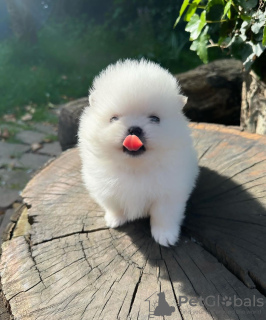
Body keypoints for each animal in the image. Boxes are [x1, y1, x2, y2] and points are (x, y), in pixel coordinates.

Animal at [77, 59, 197, 245]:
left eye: (155, 118)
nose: (134, 129)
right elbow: (114, 206)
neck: (135, 168)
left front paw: (165, 235)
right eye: (114, 118)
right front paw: (115, 219)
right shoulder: (106, 189)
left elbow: (163, 216)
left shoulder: (169, 193)